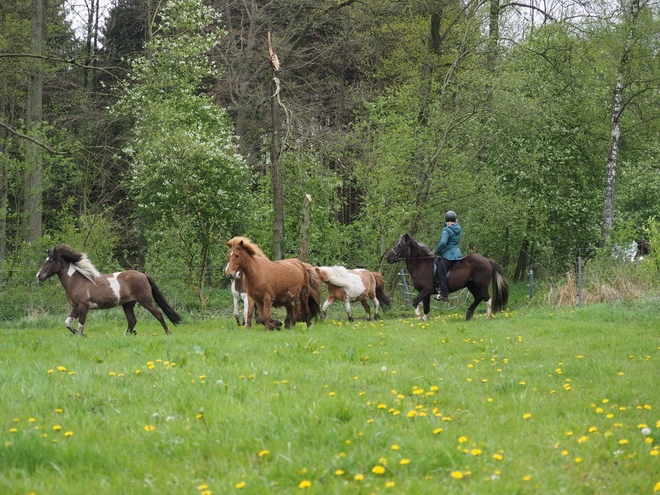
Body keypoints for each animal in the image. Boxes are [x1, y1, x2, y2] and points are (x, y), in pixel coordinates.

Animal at [37, 245, 182, 338]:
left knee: (158, 314)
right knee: (132, 320)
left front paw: (81, 335)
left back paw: (168, 332)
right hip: (128, 304)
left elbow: (81, 324)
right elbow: (67, 323)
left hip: (146, 300)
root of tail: (143, 275)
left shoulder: (83, 307)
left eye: (50, 261)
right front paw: (77, 334)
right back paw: (127, 334)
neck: (76, 281)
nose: (39, 276)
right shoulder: (75, 307)